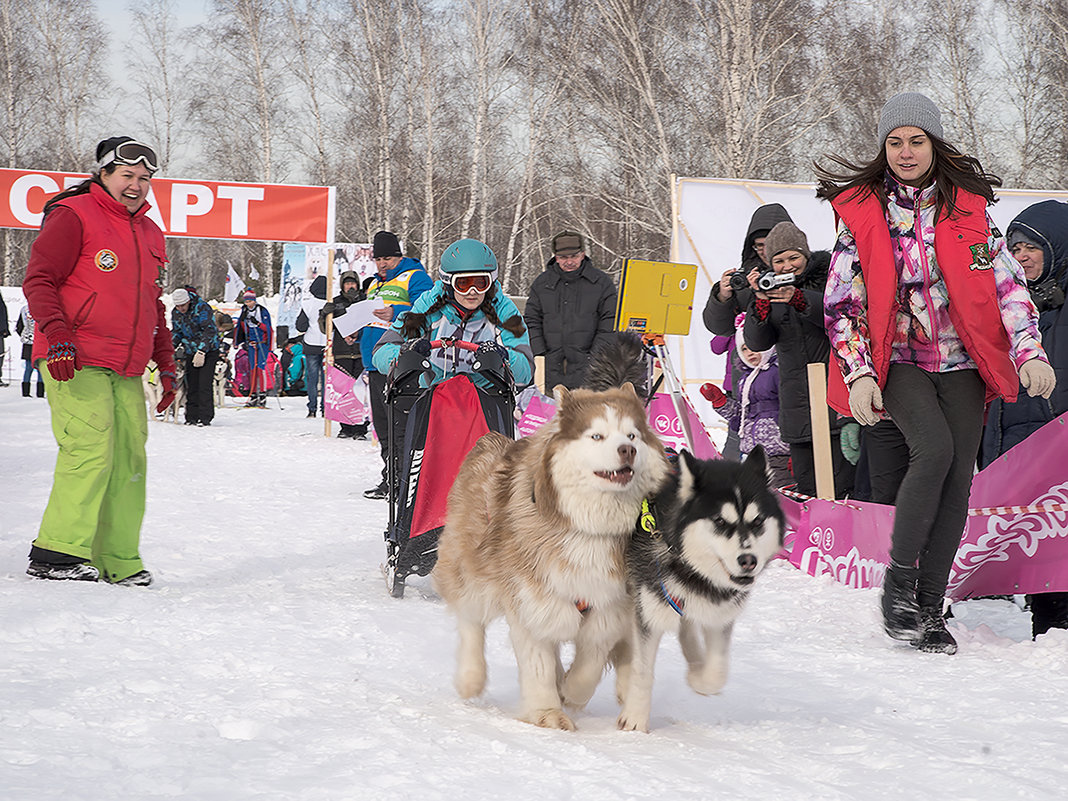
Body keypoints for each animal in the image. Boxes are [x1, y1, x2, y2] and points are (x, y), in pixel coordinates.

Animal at [431, 386, 666, 730]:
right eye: (597, 436)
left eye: (632, 435)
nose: (627, 450)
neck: (589, 529)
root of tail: (491, 440)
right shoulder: (530, 596)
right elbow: (537, 661)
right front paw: (548, 712)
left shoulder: (609, 602)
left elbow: (591, 660)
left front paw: (571, 690)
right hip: (473, 569)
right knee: (471, 620)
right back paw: (470, 677)